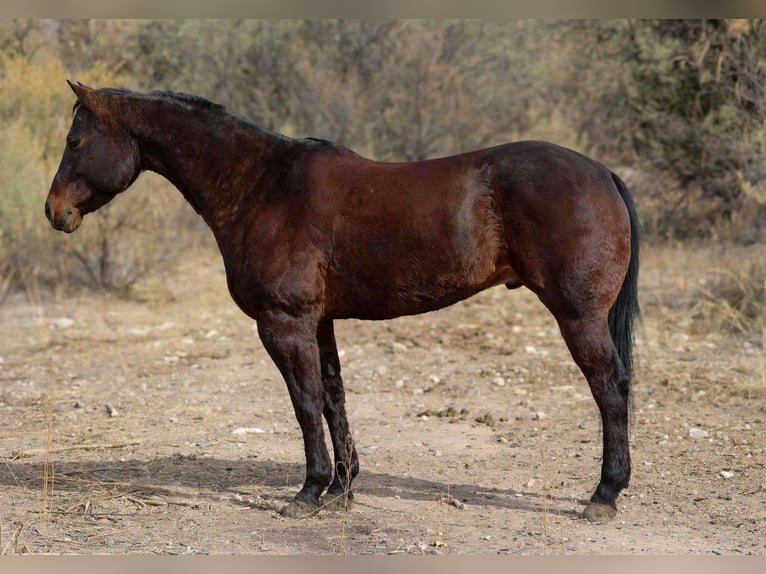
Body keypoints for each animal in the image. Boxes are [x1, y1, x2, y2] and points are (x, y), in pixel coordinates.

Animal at [46, 81, 639, 523]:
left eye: (75, 141)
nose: (54, 211)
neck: (261, 186)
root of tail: (603, 172)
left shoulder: (284, 323)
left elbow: (305, 404)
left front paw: (308, 492)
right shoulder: (320, 322)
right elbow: (334, 400)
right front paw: (341, 489)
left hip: (578, 316)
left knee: (610, 388)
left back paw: (603, 496)